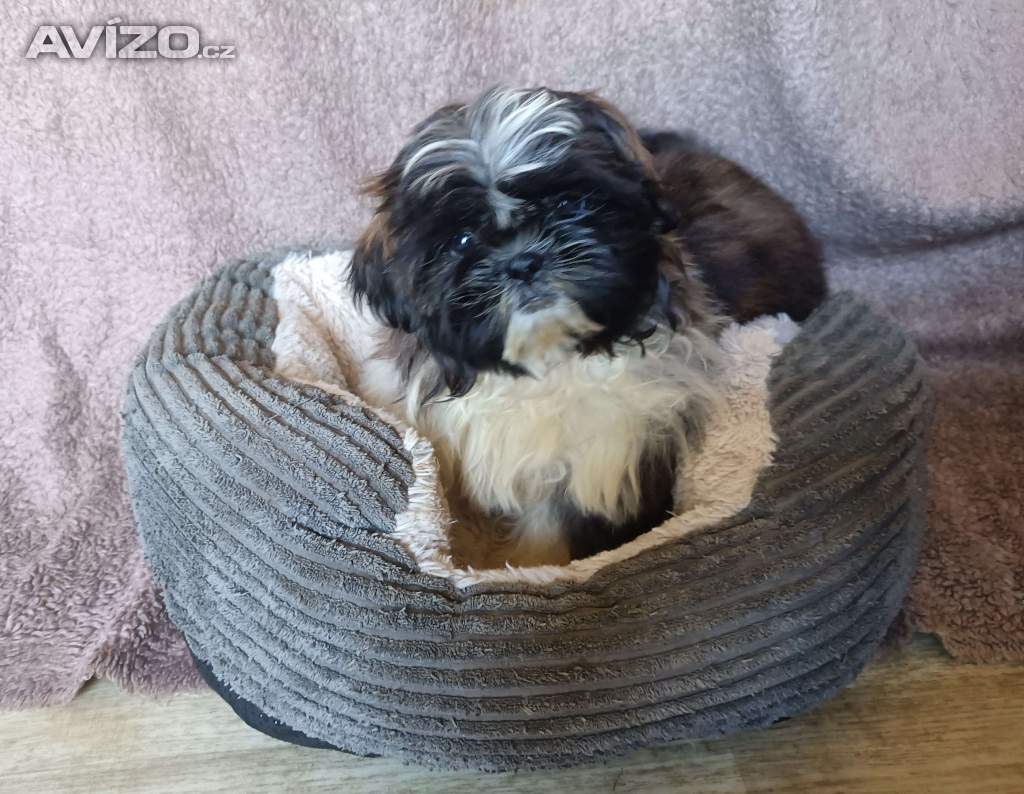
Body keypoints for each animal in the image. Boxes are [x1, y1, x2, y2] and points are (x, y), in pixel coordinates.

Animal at [350, 87, 825, 566]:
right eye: (461, 241)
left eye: (569, 204)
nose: (523, 261)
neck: (548, 361)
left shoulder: (615, 446)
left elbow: (550, 529)